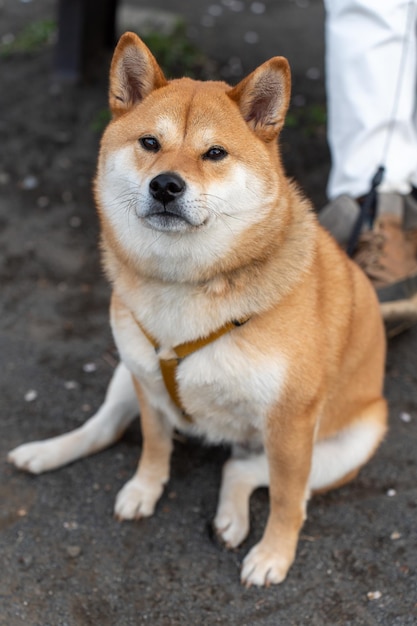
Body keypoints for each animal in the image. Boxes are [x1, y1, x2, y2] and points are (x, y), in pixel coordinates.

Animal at [8, 33, 386, 584]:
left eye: (215, 153)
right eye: (149, 143)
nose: (166, 185)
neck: (184, 282)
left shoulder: (291, 424)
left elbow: (287, 500)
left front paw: (275, 554)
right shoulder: (147, 380)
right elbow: (153, 444)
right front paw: (145, 488)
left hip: (343, 444)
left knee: (244, 470)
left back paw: (232, 517)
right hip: (126, 371)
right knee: (104, 429)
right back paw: (46, 452)